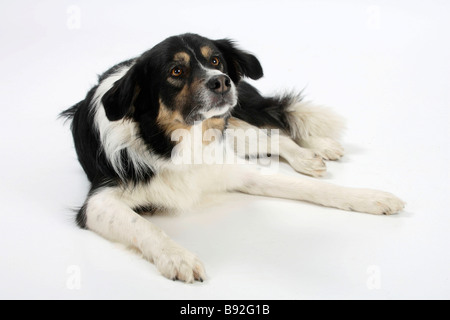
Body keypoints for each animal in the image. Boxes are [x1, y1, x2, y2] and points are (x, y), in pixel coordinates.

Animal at [61, 33, 406, 282]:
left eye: (215, 59)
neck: (179, 142)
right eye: (176, 71)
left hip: (235, 126)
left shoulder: (230, 166)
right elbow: (143, 225)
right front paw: (177, 257)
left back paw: (315, 150)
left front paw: (369, 197)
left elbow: (314, 189)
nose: (221, 80)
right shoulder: (98, 203)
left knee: (276, 130)